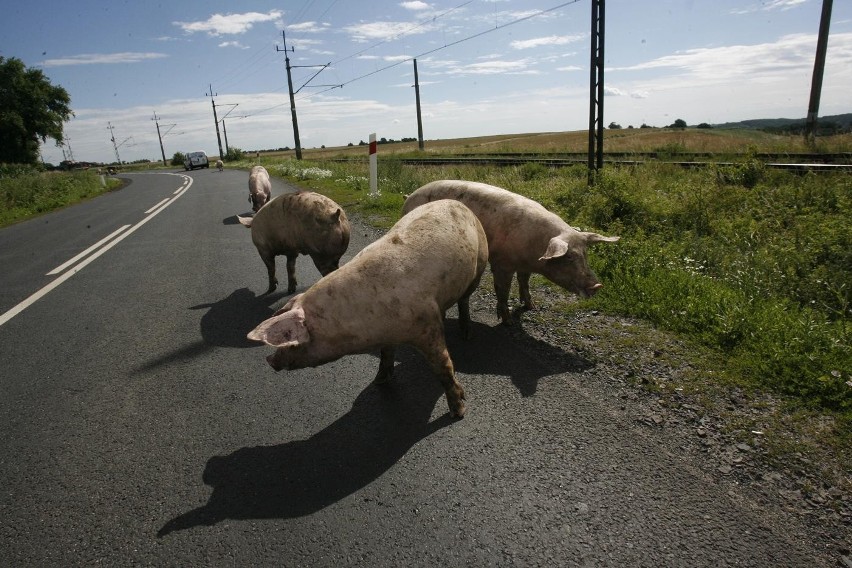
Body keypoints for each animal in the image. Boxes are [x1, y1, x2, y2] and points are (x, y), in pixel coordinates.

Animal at [246, 200, 486, 418]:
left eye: (290, 339)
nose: (270, 360)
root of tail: (458, 203)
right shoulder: (391, 333)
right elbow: (386, 353)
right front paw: (379, 381)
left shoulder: (427, 326)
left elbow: (444, 367)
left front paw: (458, 412)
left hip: (480, 263)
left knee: (465, 300)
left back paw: (466, 333)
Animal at [402, 180, 616, 326]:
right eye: (569, 256)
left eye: (585, 254)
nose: (597, 285)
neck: (535, 249)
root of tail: (409, 197)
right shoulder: (502, 264)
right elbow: (503, 290)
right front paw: (508, 322)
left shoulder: (525, 266)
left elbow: (524, 283)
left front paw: (531, 307)